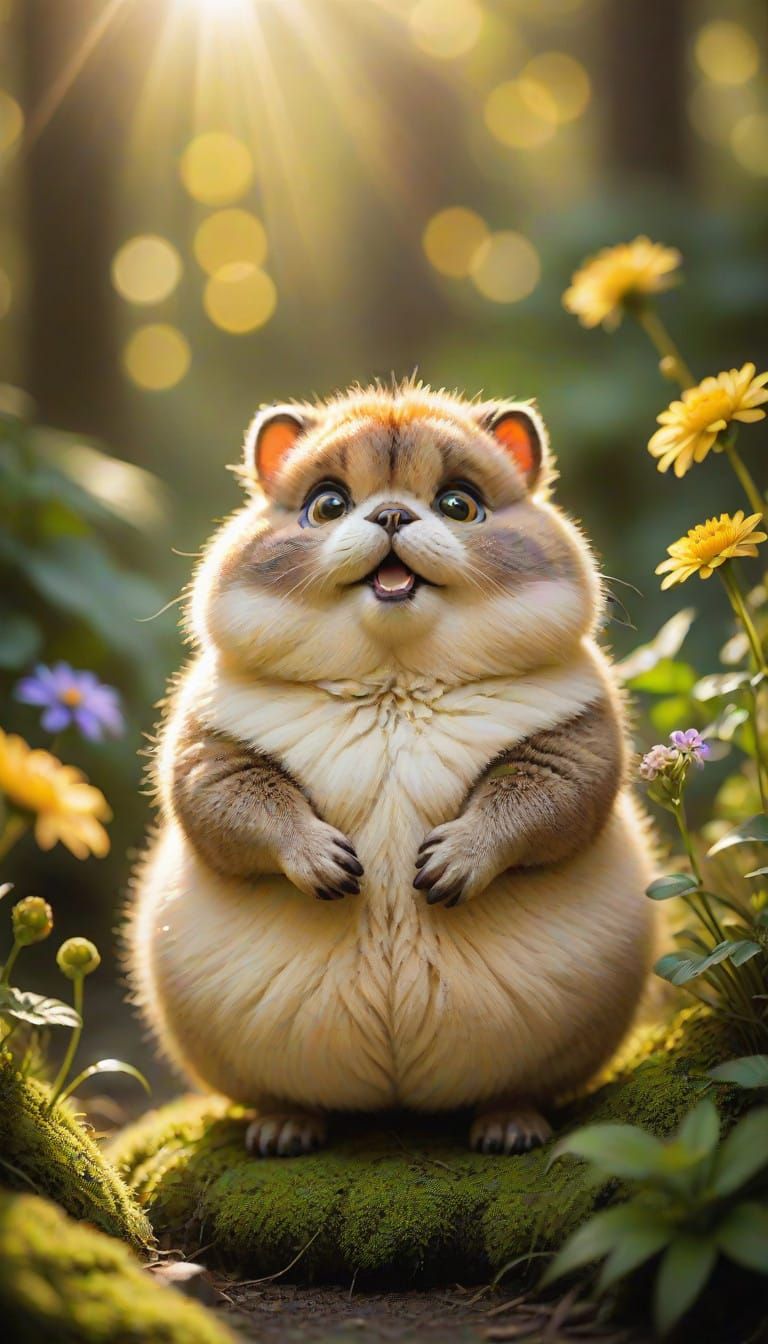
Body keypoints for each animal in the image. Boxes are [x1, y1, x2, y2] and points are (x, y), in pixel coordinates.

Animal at [129, 382, 656, 1157]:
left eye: (460, 504)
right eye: (326, 505)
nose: (391, 514)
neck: (393, 683)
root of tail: (397, 1102)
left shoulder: (576, 741)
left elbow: (545, 801)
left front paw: (447, 865)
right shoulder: (208, 750)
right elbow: (232, 805)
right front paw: (328, 865)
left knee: (518, 1089)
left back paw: (509, 1126)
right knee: (289, 1098)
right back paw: (284, 1129)